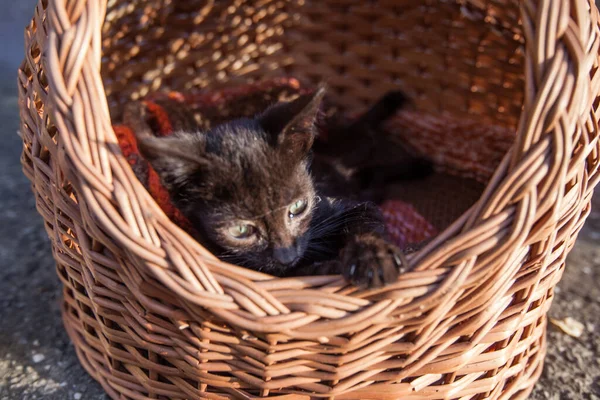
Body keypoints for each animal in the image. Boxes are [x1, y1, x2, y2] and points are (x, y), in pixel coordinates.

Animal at [132, 86, 422, 288]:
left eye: (299, 207)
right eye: (240, 230)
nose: (286, 255)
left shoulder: (347, 206)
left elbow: (364, 221)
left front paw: (374, 257)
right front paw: (324, 267)